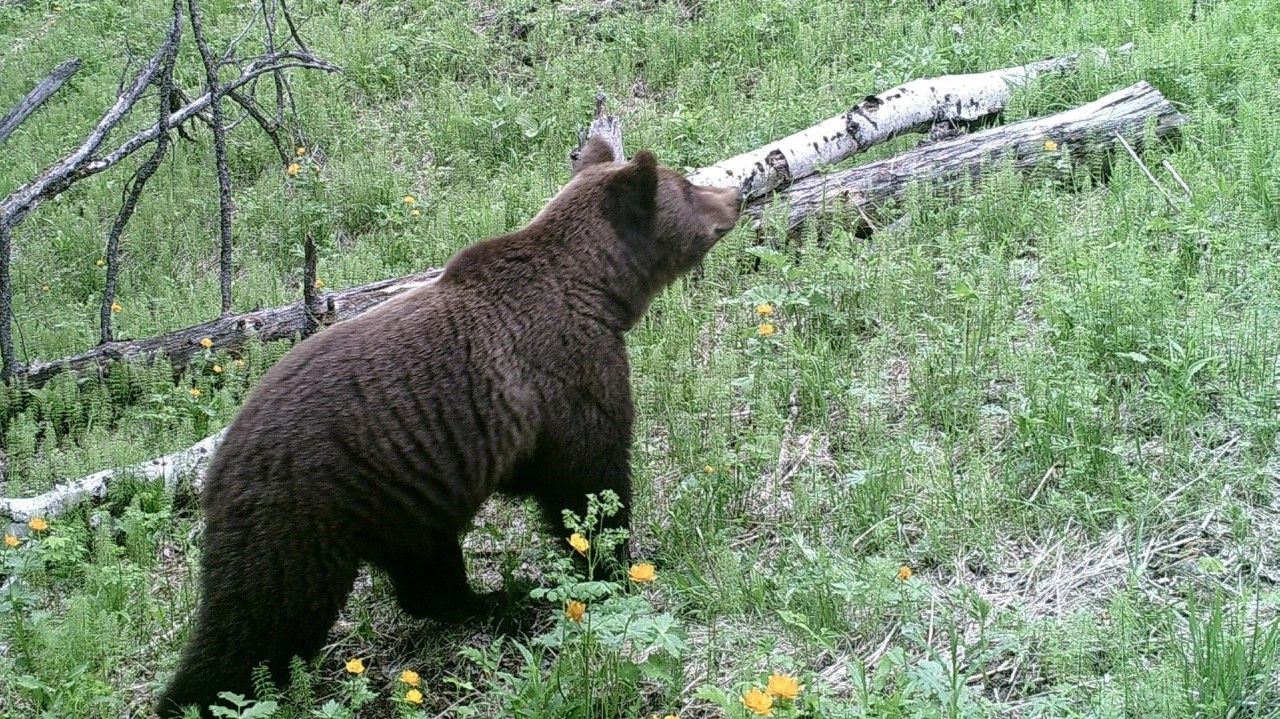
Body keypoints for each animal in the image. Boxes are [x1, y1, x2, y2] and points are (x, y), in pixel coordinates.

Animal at [157, 136, 742, 711]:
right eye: (688, 185)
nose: (735, 195)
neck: (599, 289)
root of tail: (217, 466)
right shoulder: (566, 369)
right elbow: (587, 477)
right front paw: (615, 565)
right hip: (306, 510)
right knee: (265, 613)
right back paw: (196, 696)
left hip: (402, 498)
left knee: (424, 571)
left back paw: (493, 600)